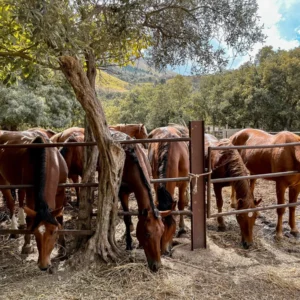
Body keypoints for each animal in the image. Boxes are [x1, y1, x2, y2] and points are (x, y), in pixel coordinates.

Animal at [0, 130, 67, 270]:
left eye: (53, 232)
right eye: (35, 232)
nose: (44, 265)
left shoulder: (61, 191)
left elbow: (60, 218)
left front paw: (62, 249)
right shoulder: (31, 193)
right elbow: (30, 218)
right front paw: (27, 245)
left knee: (20, 199)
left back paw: (20, 223)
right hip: (3, 180)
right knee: (11, 202)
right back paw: (14, 229)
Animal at [110, 129, 171, 272]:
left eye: (162, 232)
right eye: (147, 234)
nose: (156, 266)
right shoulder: (123, 193)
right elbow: (127, 218)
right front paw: (129, 243)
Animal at [146, 125, 189, 254]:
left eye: (172, 226)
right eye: (160, 228)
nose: (165, 251)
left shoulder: (184, 182)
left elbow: (181, 204)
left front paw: (182, 228)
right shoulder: (156, 180)